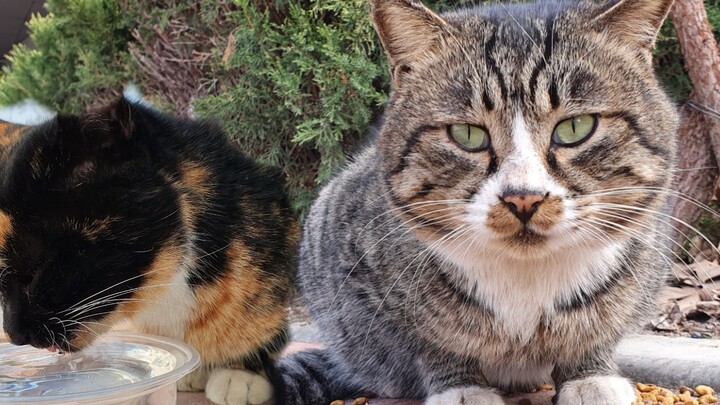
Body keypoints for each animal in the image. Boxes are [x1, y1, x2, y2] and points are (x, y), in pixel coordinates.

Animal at [278, 0, 676, 402]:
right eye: (466, 134)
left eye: (576, 127)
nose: (524, 197)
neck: (525, 277)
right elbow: (433, 342)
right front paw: (461, 385)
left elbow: (597, 327)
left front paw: (590, 375)